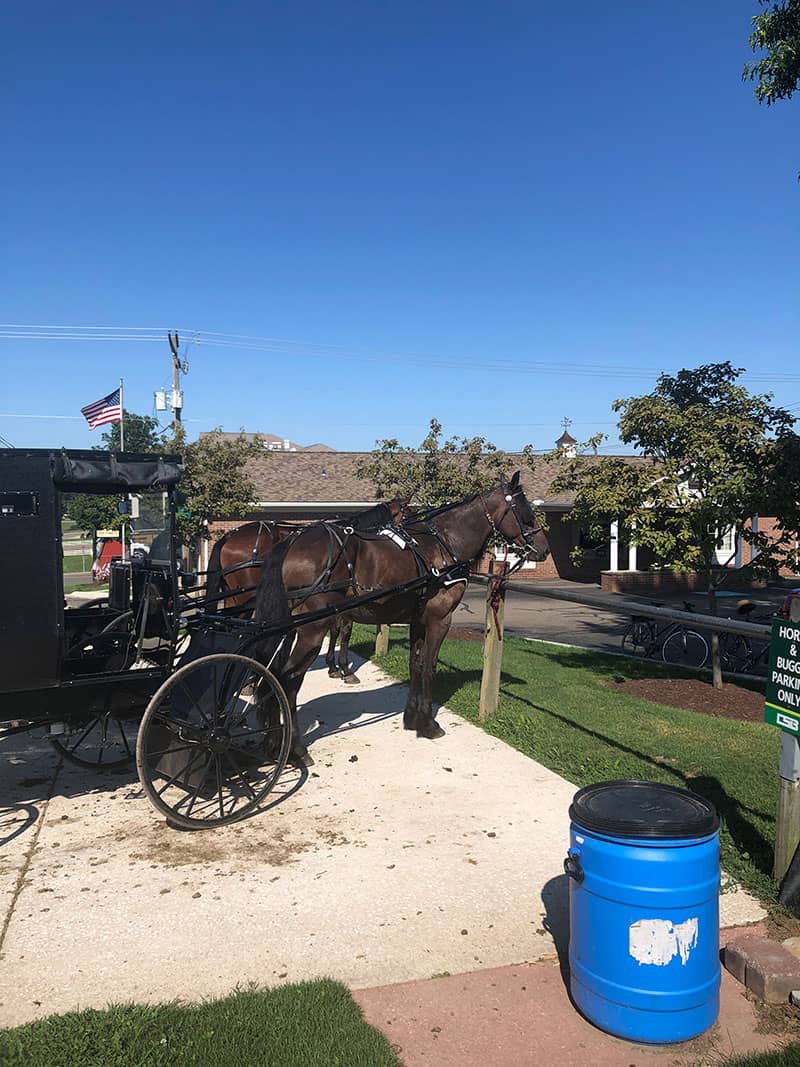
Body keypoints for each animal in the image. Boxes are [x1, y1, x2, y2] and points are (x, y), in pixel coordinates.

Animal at [206, 499, 409, 682]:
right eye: (404, 515)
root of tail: (229, 536)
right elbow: (344, 630)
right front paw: (344, 669)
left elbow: (334, 629)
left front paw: (333, 667)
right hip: (244, 598)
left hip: (233, 598)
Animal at [257, 471, 550, 763]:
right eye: (525, 511)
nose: (544, 548)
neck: (444, 543)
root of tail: (292, 542)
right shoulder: (440, 619)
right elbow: (429, 667)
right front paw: (429, 725)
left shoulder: (417, 620)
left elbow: (415, 665)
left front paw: (411, 719)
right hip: (312, 630)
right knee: (288, 679)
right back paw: (296, 750)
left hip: (289, 629)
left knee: (271, 674)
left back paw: (273, 743)